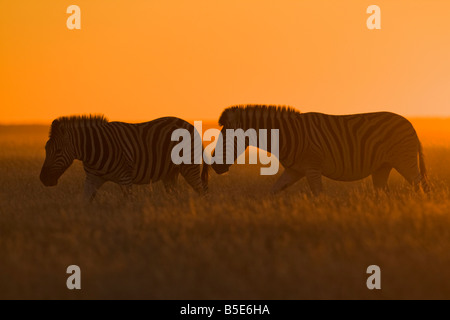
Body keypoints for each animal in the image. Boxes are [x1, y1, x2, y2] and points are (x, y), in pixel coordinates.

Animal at [39, 114, 208, 200]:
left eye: (58, 150)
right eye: (46, 149)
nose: (43, 179)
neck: (92, 150)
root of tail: (189, 124)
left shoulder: (125, 178)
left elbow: (128, 205)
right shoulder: (92, 179)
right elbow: (84, 202)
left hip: (189, 167)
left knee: (201, 191)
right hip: (169, 173)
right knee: (175, 194)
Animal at [211, 105, 428, 195]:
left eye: (226, 140)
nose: (214, 167)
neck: (286, 135)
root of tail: (411, 125)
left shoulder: (312, 168)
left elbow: (319, 195)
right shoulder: (294, 170)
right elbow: (273, 191)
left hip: (404, 159)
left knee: (420, 186)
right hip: (382, 167)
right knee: (384, 193)